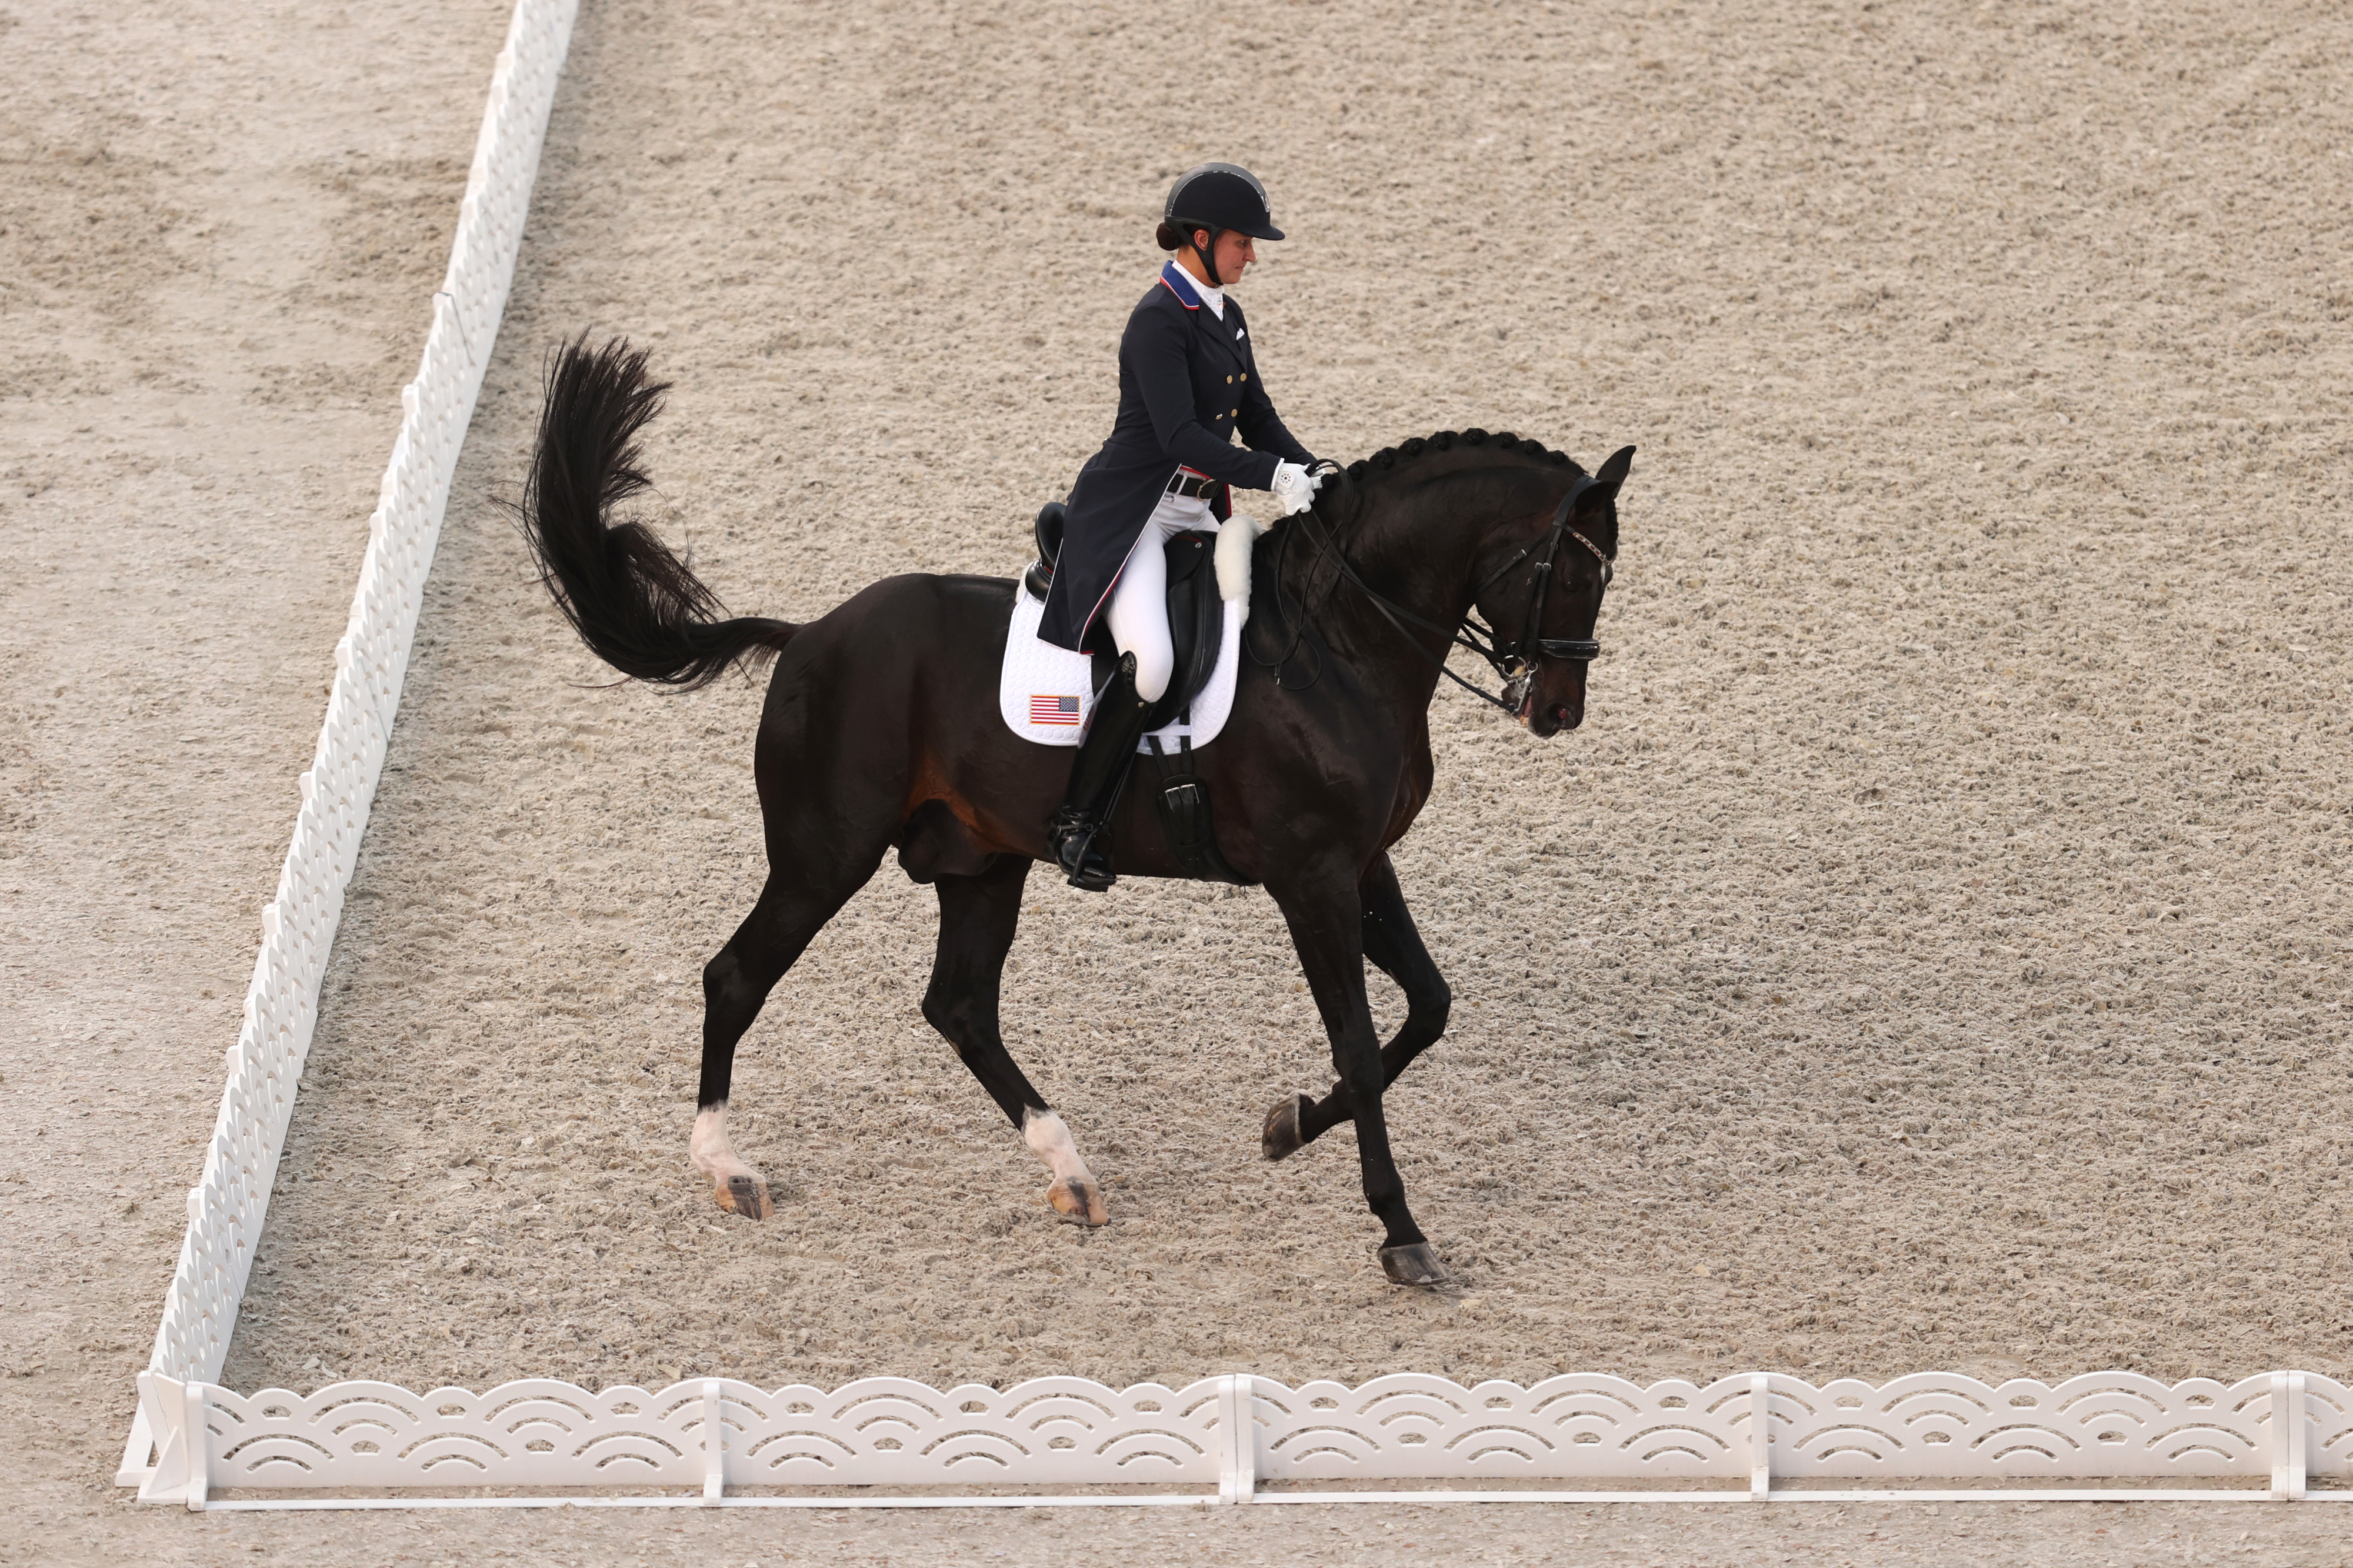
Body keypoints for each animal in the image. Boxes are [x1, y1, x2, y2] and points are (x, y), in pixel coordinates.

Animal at [517, 337, 1633, 1285]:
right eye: (1571, 570)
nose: (1558, 709)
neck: (1338, 640)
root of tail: (809, 637)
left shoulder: (1363, 863)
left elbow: (1428, 1006)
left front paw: (1286, 1126)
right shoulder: (1310, 876)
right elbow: (1361, 1046)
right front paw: (1400, 1232)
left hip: (980, 862)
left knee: (960, 1007)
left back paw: (1072, 1172)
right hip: (825, 854)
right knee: (737, 976)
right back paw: (727, 1168)